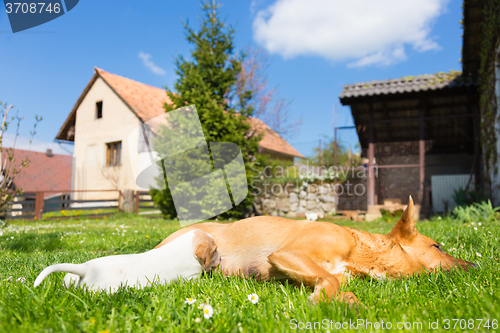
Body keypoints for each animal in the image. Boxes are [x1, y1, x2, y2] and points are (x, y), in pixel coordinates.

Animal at [155, 197, 472, 304]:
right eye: (437, 246)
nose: (476, 266)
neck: (359, 251)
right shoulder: (289, 255)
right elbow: (329, 279)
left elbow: (335, 283)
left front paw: (345, 300)